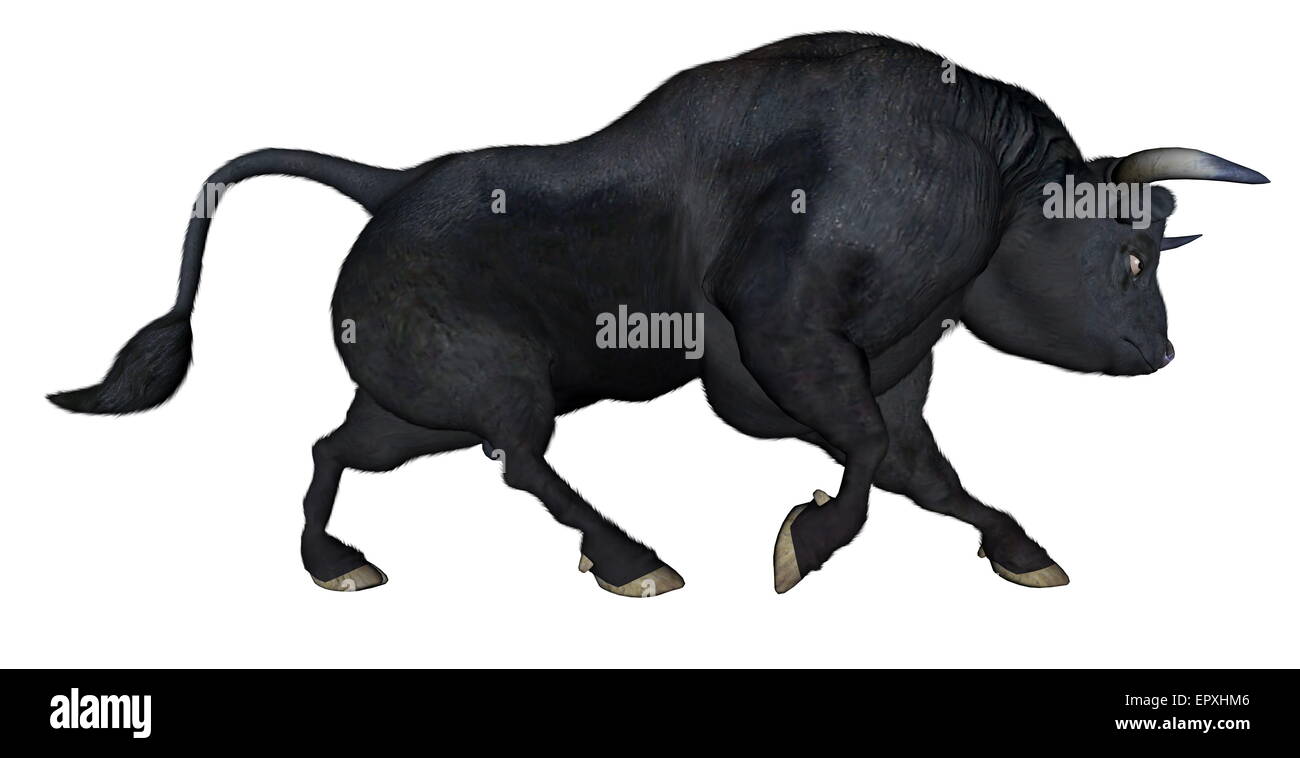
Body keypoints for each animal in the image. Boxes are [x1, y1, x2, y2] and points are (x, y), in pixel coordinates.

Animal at [49, 33, 1267, 596]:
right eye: (1127, 250)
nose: (1159, 349)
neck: (985, 178)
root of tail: (386, 185)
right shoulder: (786, 339)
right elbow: (872, 454)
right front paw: (802, 544)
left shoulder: (886, 370)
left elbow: (925, 468)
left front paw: (1021, 550)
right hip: (493, 387)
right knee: (517, 460)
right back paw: (631, 557)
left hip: (415, 410)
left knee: (333, 444)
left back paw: (334, 561)